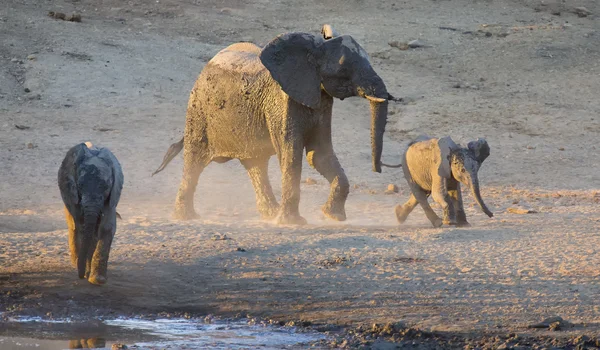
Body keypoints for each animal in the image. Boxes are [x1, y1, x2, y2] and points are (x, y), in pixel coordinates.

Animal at [58, 142, 124, 284]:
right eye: (80, 186)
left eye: (106, 187)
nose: (81, 276)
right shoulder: (73, 194)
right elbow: (83, 227)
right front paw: (88, 275)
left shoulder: (113, 195)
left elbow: (106, 227)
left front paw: (97, 280)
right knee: (74, 226)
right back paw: (75, 262)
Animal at [152, 26, 392, 224]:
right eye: (343, 68)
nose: (378, 168)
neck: (314, 46)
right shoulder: (281, 102)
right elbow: (291, 153)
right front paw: (294, 223)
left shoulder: (321, 99)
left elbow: (318, 154)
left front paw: (332, 217)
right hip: (198, 110)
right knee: (194, 161)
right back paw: (186, 217)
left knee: (255, 164)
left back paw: (270, 215)